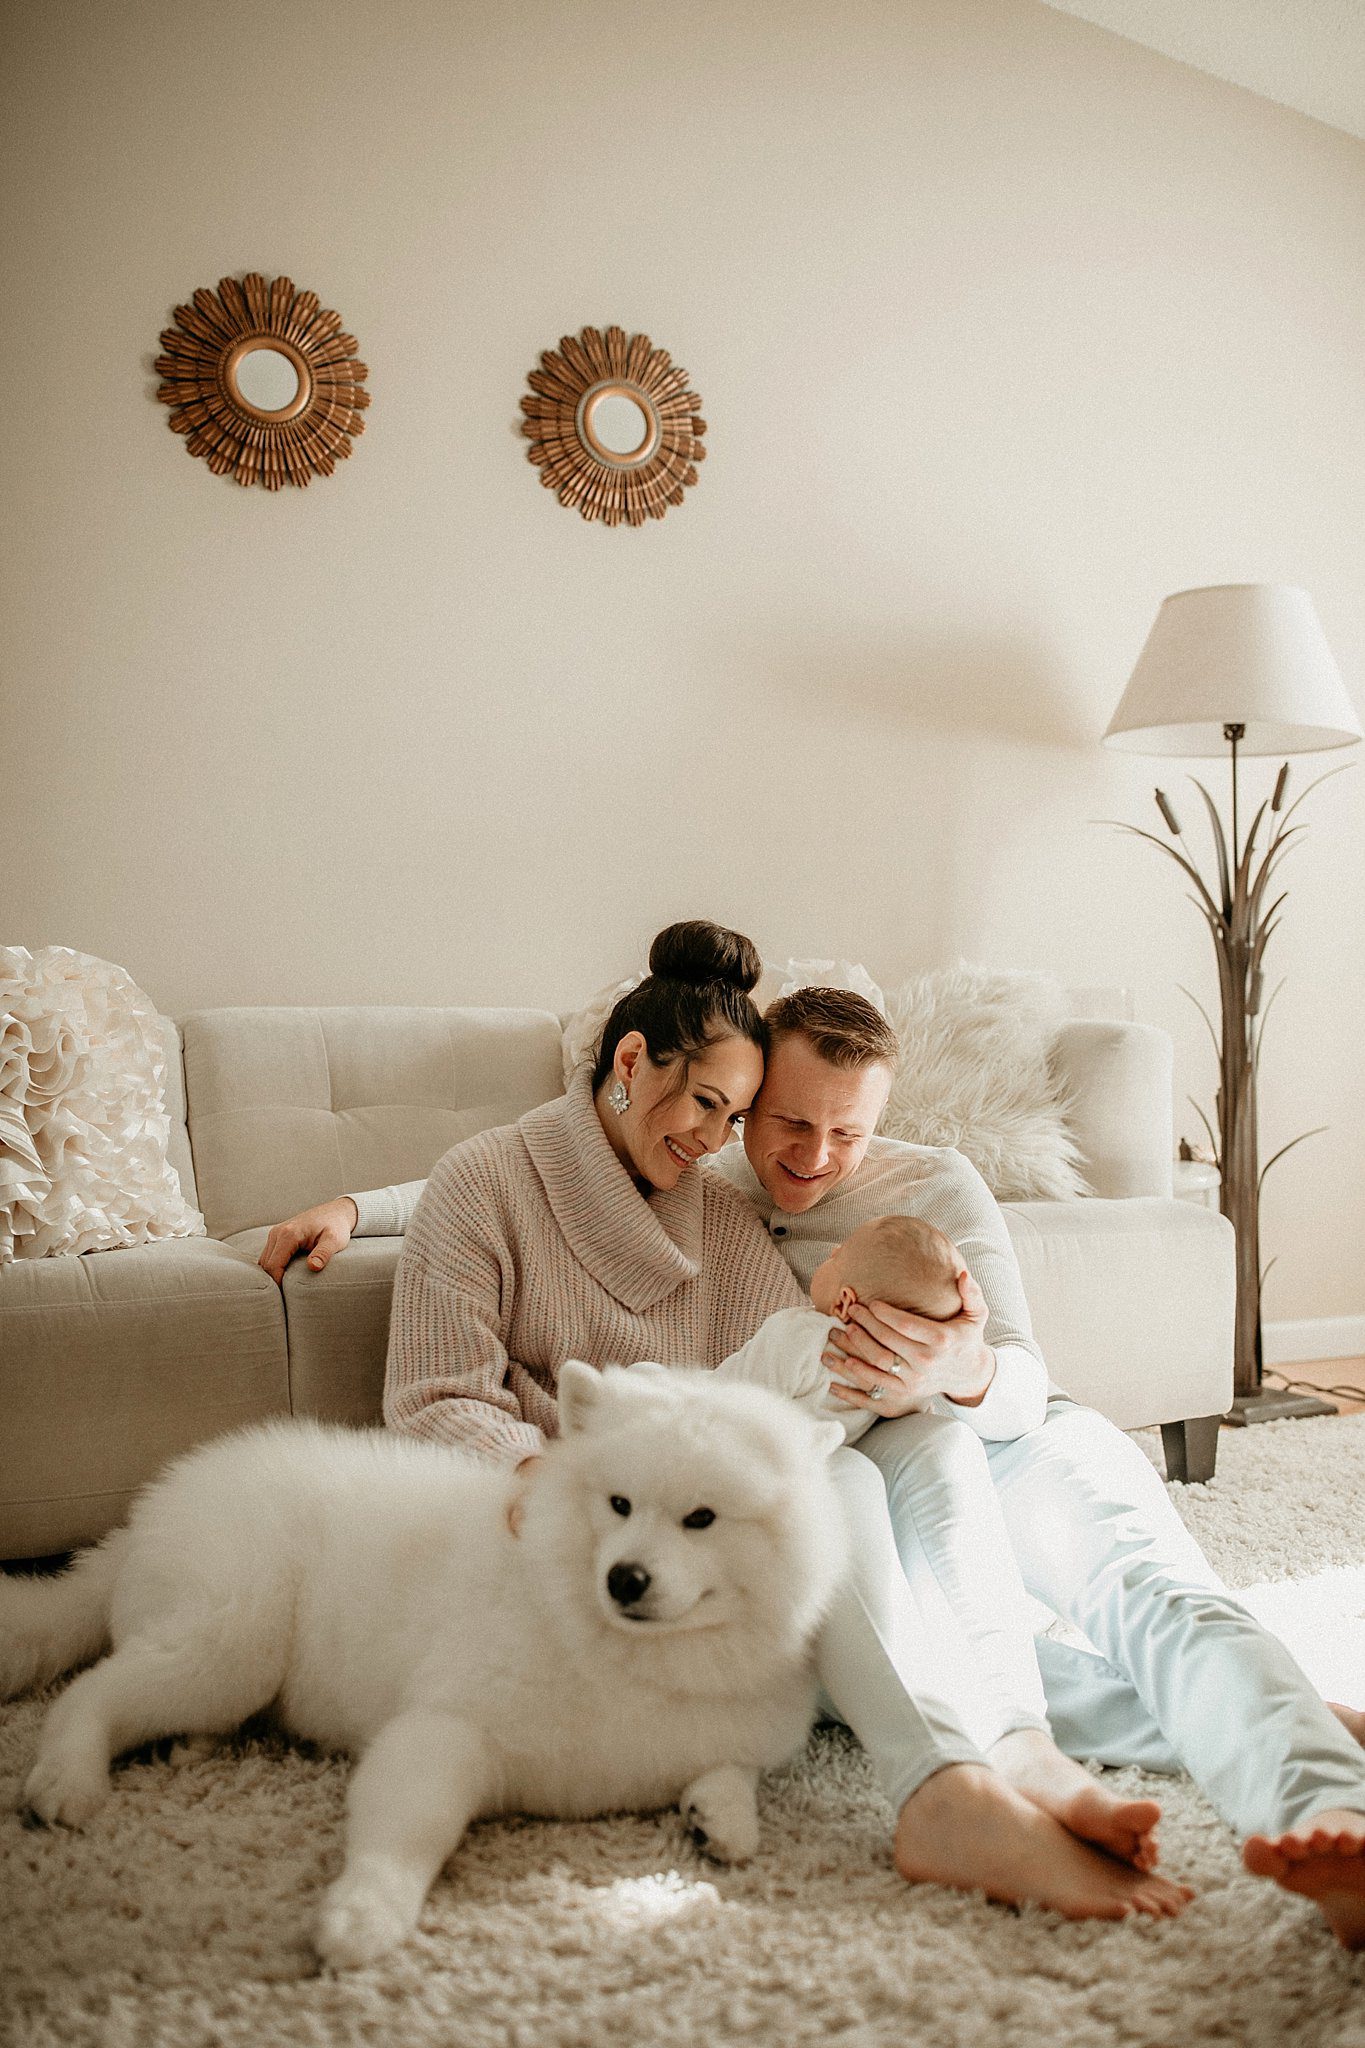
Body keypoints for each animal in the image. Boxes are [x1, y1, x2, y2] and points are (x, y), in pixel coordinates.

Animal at [2, 1362, 848, 1970]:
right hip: (231, 1643)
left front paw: (720, 1819)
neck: (625, 1658)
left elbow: (733, 1772)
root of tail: (141, 1516)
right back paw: (69, 1779)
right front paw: (362, 1918)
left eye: (700, 1518)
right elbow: (409, 1831)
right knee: (90, 1690)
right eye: (618, 1505)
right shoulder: (446, 1729)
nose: (625, 1579)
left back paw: (190, 1747)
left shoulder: (732, 1733)